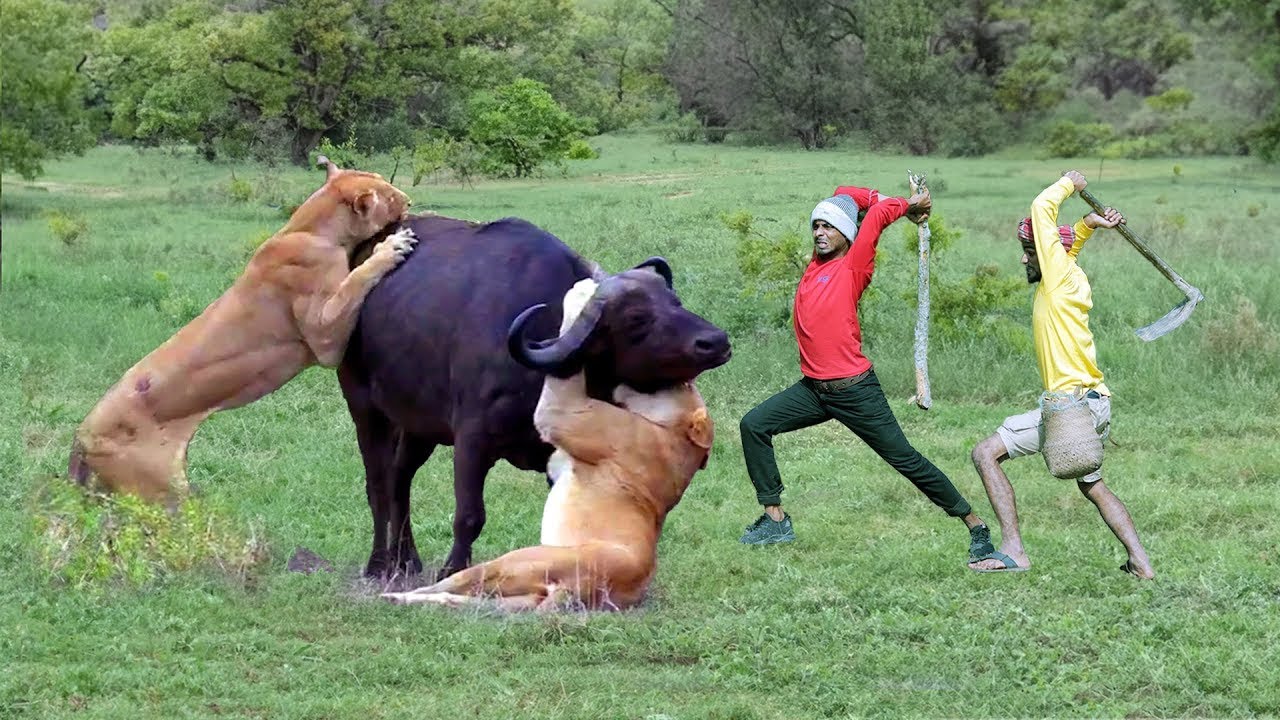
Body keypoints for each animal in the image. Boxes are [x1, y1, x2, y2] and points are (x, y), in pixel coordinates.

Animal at [340, 213, 731, 579]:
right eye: (636, 318)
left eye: (675, 301)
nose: (716, 341)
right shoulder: (471, 439)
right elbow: (469, 516)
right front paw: (453, 569)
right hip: (365, 409)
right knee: (378, 484)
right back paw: (379, 563)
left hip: (419, 426)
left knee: (400, 477)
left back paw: (407, 559)